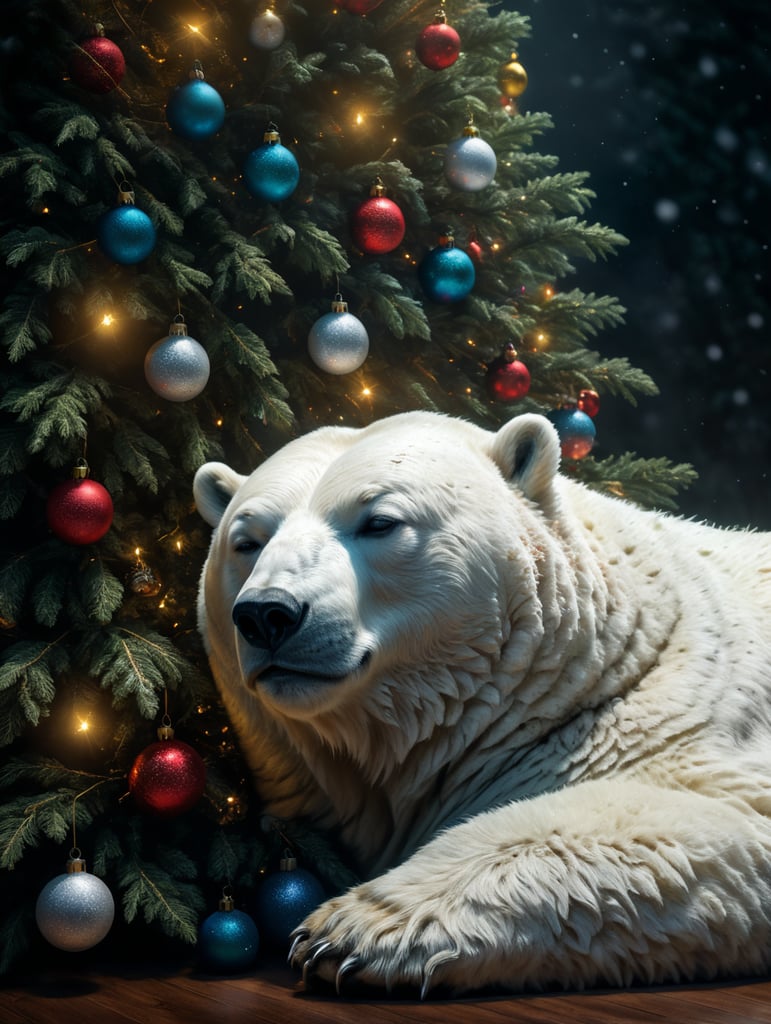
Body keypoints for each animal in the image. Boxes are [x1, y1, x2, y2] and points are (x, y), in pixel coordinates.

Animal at [193, 410, 771, 997]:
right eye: (248, 540)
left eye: (380, 522)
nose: (267, 614)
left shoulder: (686, 728)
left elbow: (686, 822)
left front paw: (351, 929)